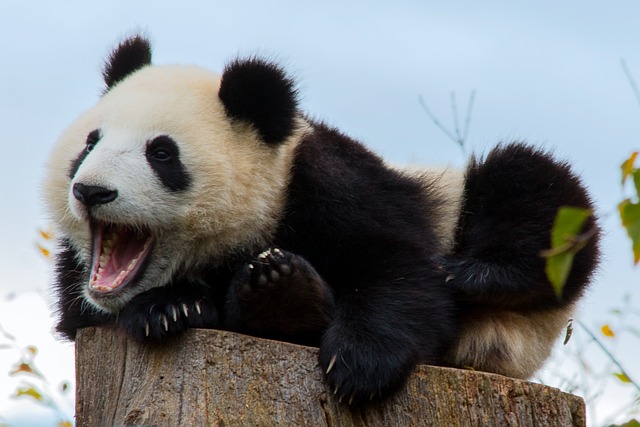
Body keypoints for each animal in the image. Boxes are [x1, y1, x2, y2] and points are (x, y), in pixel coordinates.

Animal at [45, 36, 600, 404]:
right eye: (90, 144)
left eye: (161, 153)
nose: (91, 191)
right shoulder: (77, 282)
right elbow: (81, 315)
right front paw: (172, 307)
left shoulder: (328, 182)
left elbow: (400, 267)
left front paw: (358, 363)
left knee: (532, 188)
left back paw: (474, 273)